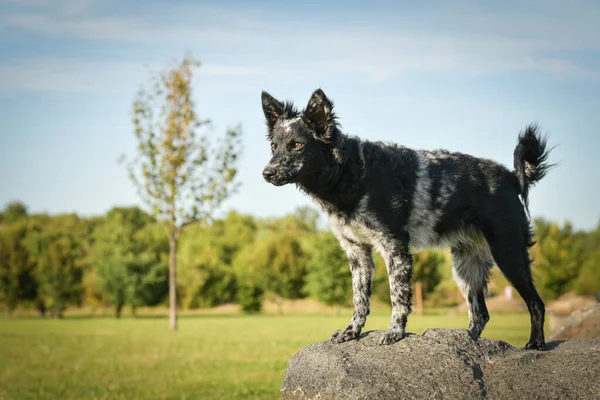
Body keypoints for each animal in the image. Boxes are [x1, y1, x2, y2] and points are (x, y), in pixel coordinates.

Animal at [260, 88, 552, 350]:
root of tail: (510, 177)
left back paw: (536, 343)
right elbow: (359, 298)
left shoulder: (395, 246)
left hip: (508, 253)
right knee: (480, 314)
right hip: (465, 268)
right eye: (274, 146)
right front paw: (352, 331)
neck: (351, 173)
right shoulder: (357, 250)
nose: (267, 173)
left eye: (297, 145)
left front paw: (395, 332)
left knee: (536, 303)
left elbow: (398, 295)